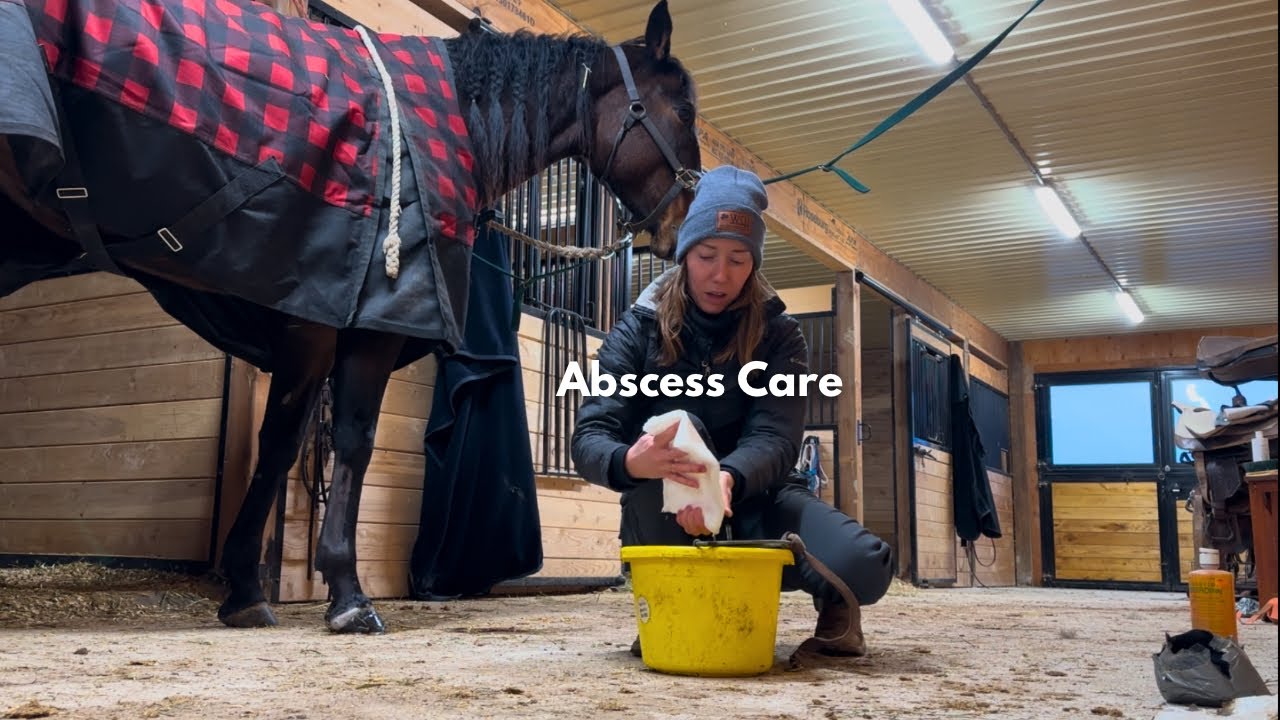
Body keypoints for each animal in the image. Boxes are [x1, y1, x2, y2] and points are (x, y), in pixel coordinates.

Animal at [0, 0, 701, 633]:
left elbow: (280, 444)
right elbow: (352, 441)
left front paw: (244, 592)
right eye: (685, 110)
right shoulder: (366, 324)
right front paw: (346, 596)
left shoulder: (310, 322)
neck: (439, 126)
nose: (681, 225)